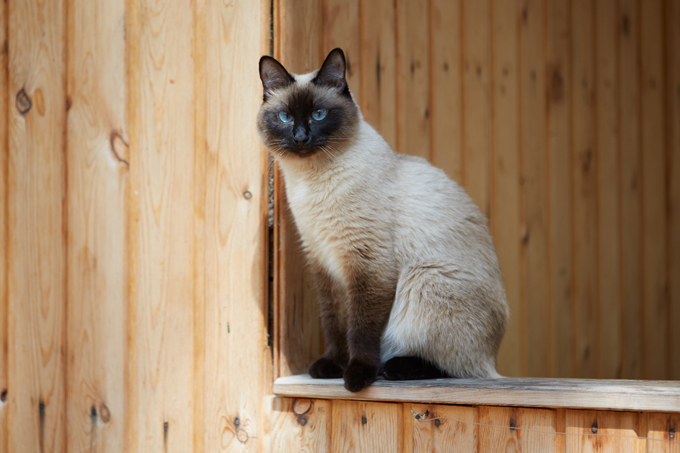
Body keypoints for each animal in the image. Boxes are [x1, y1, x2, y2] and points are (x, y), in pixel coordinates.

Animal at [258, 47, 508, 390]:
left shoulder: (368, 263)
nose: (300, 137)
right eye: (285, 117)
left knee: (458, 368)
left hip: (424, 280)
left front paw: (357, 376)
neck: (309, 180)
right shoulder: (324, 262)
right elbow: (335, 322)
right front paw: (332, 366)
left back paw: (394, 368)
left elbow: (362, 328)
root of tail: (494, 357)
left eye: (318, 115)